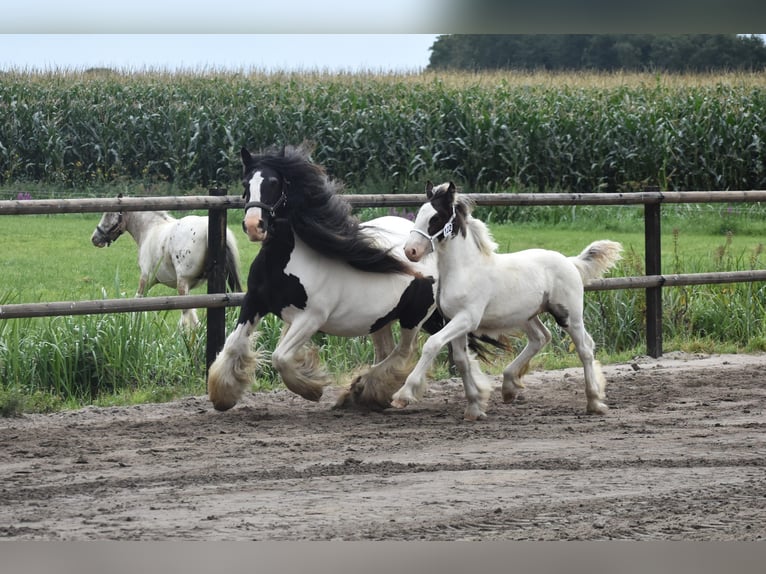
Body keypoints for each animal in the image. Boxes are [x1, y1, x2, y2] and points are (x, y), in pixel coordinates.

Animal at [91, 206, 243, 327]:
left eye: (108, 214)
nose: (94, 239)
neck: (150, 229)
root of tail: (207, 228)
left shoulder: (146, 278)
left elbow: (137, 302)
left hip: (182, 284)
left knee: (189, 319)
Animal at [206, 144, 440, 412]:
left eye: (274, 182)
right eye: (246, 183)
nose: (254, 225)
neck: (284, 262)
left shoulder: (311, 318)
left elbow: (280, 357)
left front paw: (311, 388)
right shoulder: (254, 302)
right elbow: (234, 344)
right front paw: (223, 396)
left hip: (414, 317)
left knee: (404, 352)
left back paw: (362, 389)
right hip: (381, 319)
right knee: (387, 352)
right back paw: (365, 394)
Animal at [392, 181, 623, 421]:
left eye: (435, 217)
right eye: (419, 213)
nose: (411, 250)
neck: (465, 270)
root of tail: (571, 262)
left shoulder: (467, 318)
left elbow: (432, 344)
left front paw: (403, 395)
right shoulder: (453, 320)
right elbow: (462, 361)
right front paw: (474, 407)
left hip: (569, 315)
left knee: (584, 348)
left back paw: (594, 402)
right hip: (527, 316)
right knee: (542, 338)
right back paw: (509, 386)